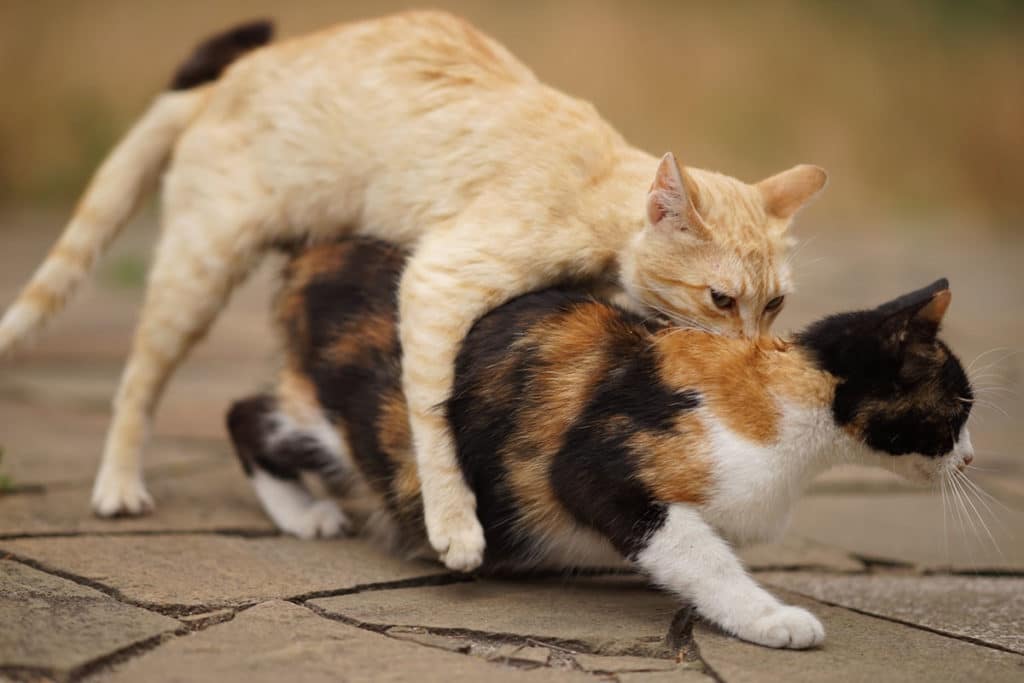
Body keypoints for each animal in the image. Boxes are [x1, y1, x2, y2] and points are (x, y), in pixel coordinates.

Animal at [0, 14, 827, 573]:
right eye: (721, 300)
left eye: (773, 304)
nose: (752, 349)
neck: (595, 186)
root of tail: (222, 82)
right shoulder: (436, 280)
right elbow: (430, 413)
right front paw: (454, 521)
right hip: (197, 273)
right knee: (137, 383)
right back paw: (118, 483)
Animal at [226, 240, 974, 651]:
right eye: (962, 407)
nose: (969, 457)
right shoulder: (597, 464)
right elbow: (700, 552)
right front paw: (771, 618)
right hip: (356, 430)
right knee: (246, 412)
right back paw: (305, 514)